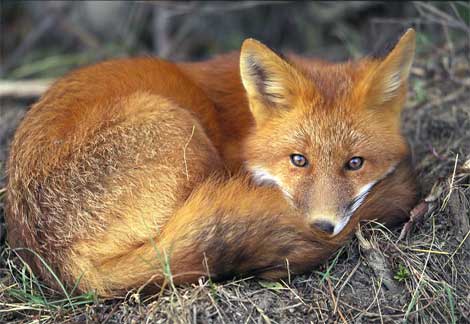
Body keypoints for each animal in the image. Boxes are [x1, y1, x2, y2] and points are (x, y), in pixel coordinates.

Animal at [5, 29, 416, 294]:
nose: (323, 226)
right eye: (299, 160)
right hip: (179, 128)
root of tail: (59, 262)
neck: (246, 124)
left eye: (355, 163)